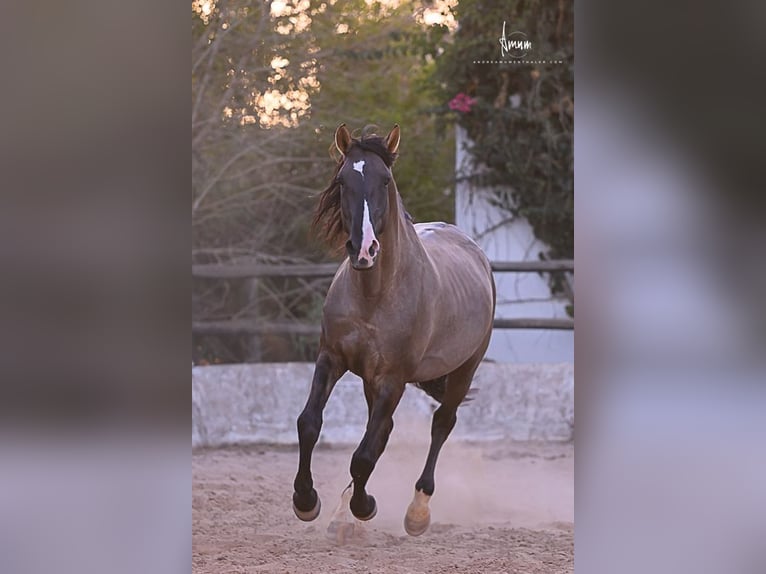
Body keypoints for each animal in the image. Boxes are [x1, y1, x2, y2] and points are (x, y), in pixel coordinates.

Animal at [292, 123, 496, 536]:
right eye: (343, 180)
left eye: (384, 180)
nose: (364, 249)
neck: (375, 294)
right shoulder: (332, 359)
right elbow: (310, 424)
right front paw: (307, 502)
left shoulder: (393, 379)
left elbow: (365, 453)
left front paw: (365, 506)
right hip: (372, 381)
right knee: (382, 429)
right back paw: (343, 514)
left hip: (464, 370)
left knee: (441, 424)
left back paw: (418, 510)